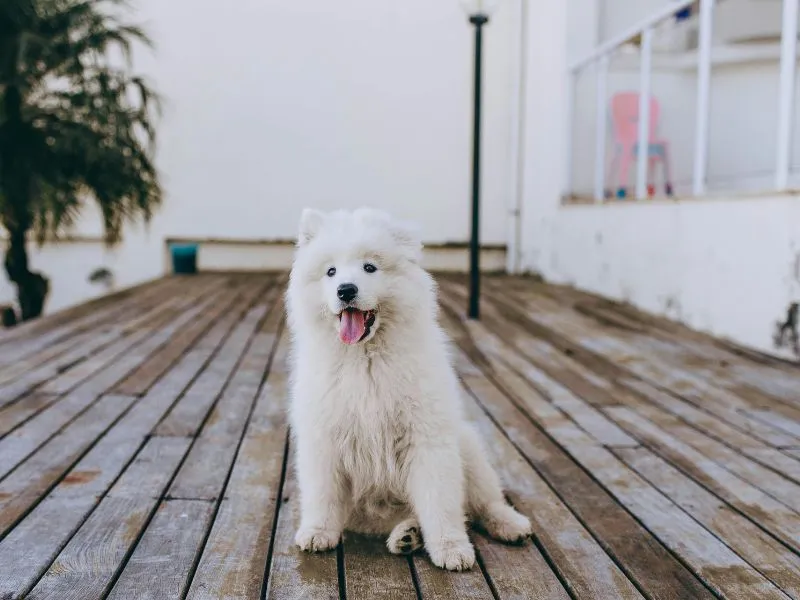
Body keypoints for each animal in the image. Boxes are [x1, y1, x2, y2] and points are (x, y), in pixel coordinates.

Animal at [286, 207, 532, 572]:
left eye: (370, 267)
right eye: (330, 271)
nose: (345, 290)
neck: (366, 360)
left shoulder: (427, 440)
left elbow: (440, 503)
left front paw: (451, 549)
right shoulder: (324, 439)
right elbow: (322, 494)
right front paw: (317, 533)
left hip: (469, 450)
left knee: (485, 503)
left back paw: (510, 525)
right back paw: (408, 535)